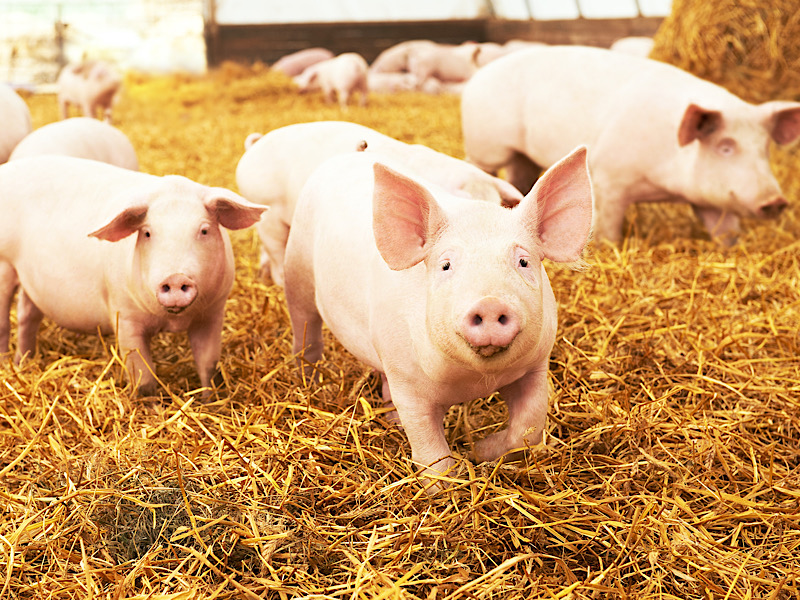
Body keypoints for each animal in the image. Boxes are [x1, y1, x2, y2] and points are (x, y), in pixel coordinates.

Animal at [0, 155, 266, 395]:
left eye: (204, 230)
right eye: (147, 233)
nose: (176, 277)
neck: (173, 321)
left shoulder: (212, 313)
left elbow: (208, 366)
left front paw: (211, 402)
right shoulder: (124, 315)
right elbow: (143, 377)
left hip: (31, 281)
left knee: (27, 316)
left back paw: (23, 363)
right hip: (4, 264)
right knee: (6, 320)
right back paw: (7, 362)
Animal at [283, 146, 592, 488]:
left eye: (523, 261)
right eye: (446, 265)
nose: (489, 302)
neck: (475, 382)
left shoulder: (536, 365)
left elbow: (529, 427)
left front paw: (479, 451)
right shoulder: (408, 382)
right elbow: (430, 449)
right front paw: (446, 481)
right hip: (297, 271)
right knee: (306, 332)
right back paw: (307, 380)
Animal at [461, 45, 800, 244]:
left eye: (765, 148)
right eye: (726, 147)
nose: (776, 201)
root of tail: (480, 72)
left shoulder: (709, 200)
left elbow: (725, 229)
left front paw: (731, 245)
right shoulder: (609, 179)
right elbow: (608, 228)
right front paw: (607, 246)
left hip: (522, 155)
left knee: (521, 177)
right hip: (484, 146)